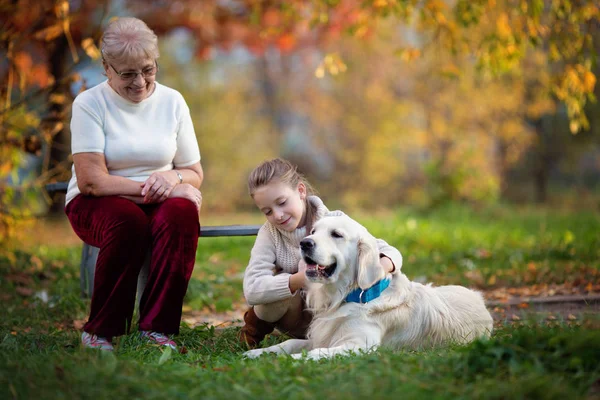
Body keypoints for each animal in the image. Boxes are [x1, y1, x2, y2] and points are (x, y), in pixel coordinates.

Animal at [244, 214, 492, 360]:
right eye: (313, 231)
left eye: (336, 234)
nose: (304, 243)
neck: (346, 296)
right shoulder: (321, 336)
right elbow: (290, 343)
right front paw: (259, 352)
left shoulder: (357, 345)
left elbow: (313, 353)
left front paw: (284, 361)